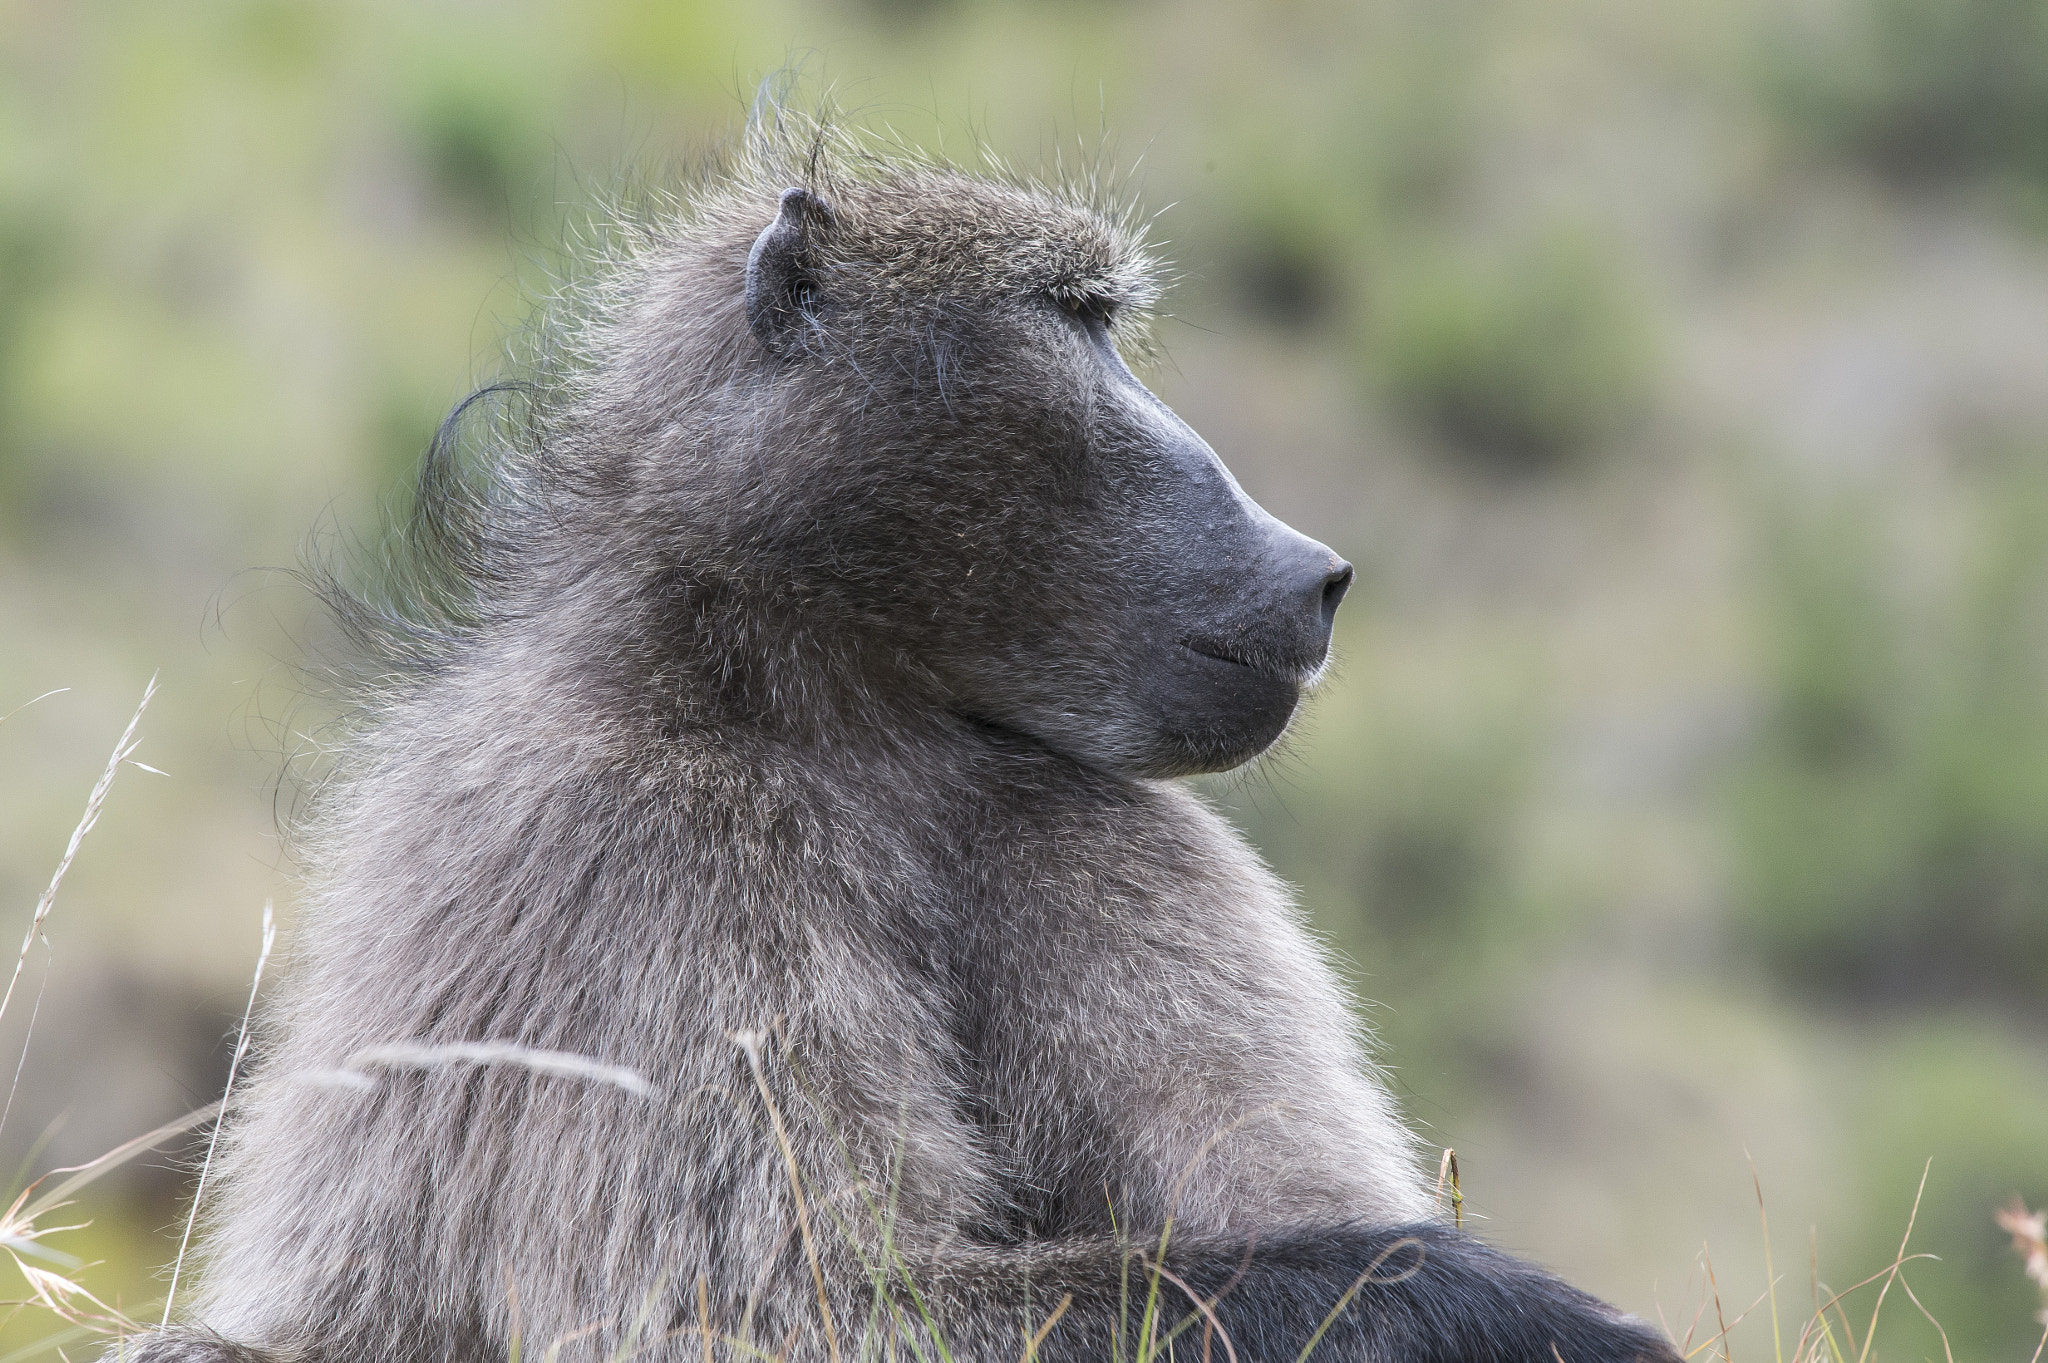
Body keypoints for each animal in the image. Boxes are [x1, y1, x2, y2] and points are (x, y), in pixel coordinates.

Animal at [113, 117, 1681, 1363]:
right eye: (1076, 319)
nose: (1316, 571)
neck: (824, 709)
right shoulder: (650, 850)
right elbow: (786, 1304)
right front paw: (1501, 1309)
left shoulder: (1091, 823)